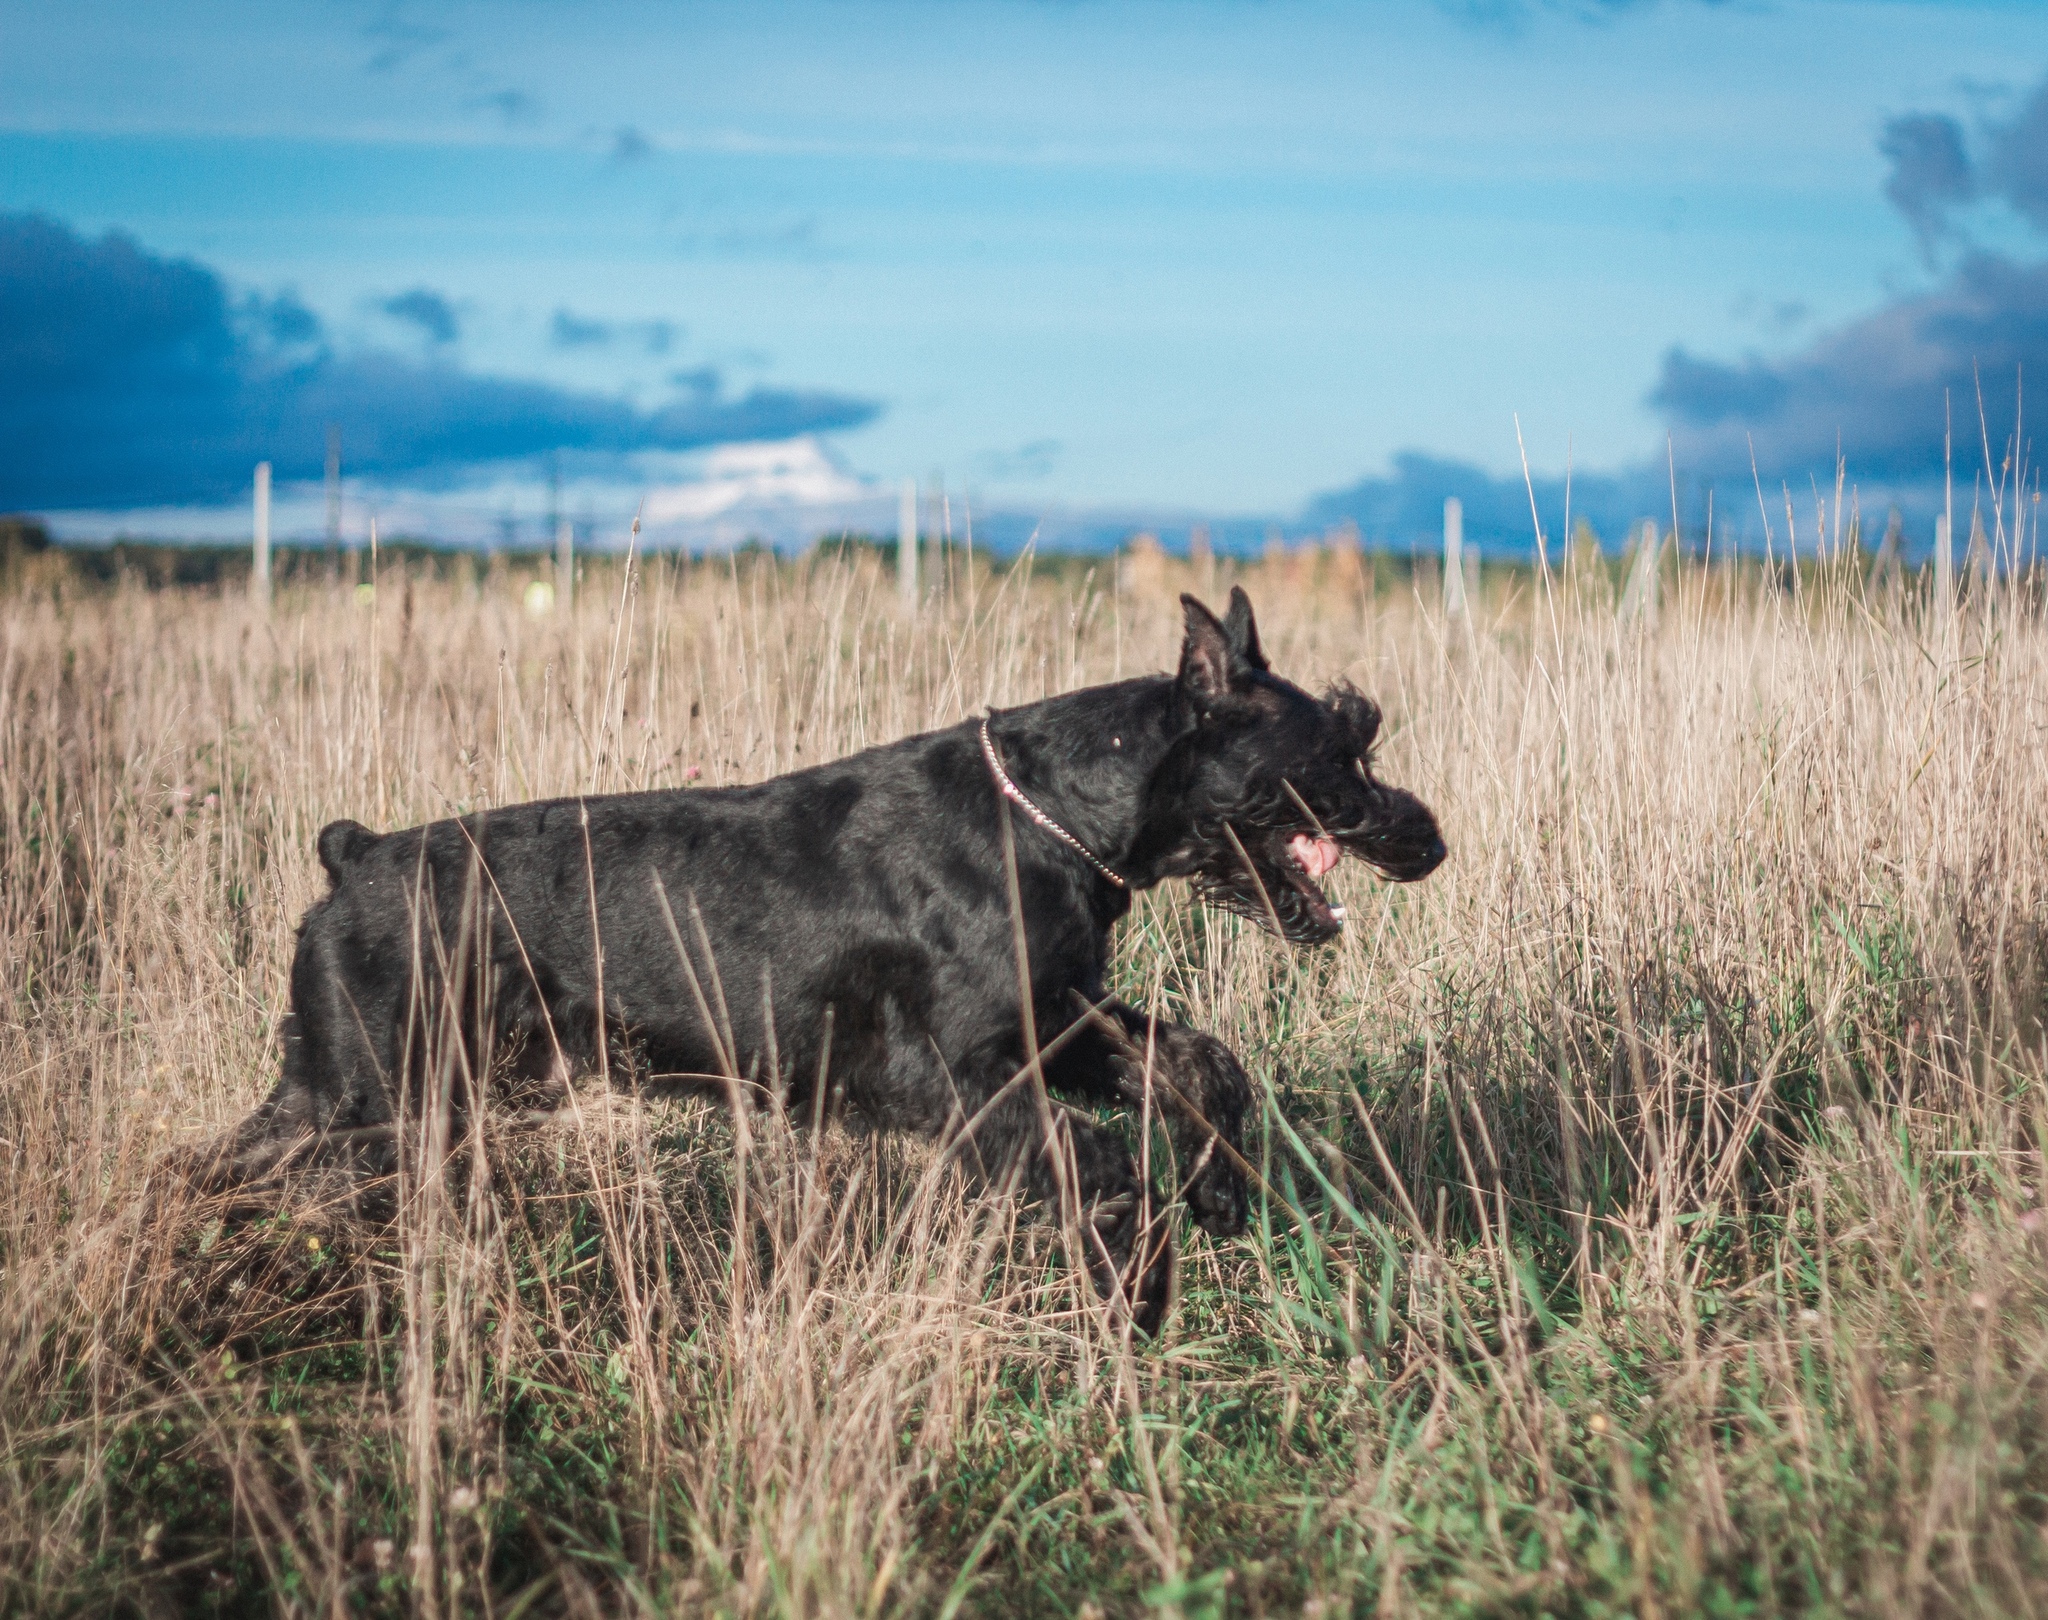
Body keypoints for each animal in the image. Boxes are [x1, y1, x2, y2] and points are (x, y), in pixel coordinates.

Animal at [220, 593, 1441, 1327]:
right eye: (1341, 744)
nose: (1425, 840)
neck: (1054, 814)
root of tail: (355, 856)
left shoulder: (1055, 1023)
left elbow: (1196, 1061)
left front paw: (1221, 1190)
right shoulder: (950, 1077)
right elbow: (1099, 1164)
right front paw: (1136, 1289)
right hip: (366, 1094)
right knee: (232, 1173)